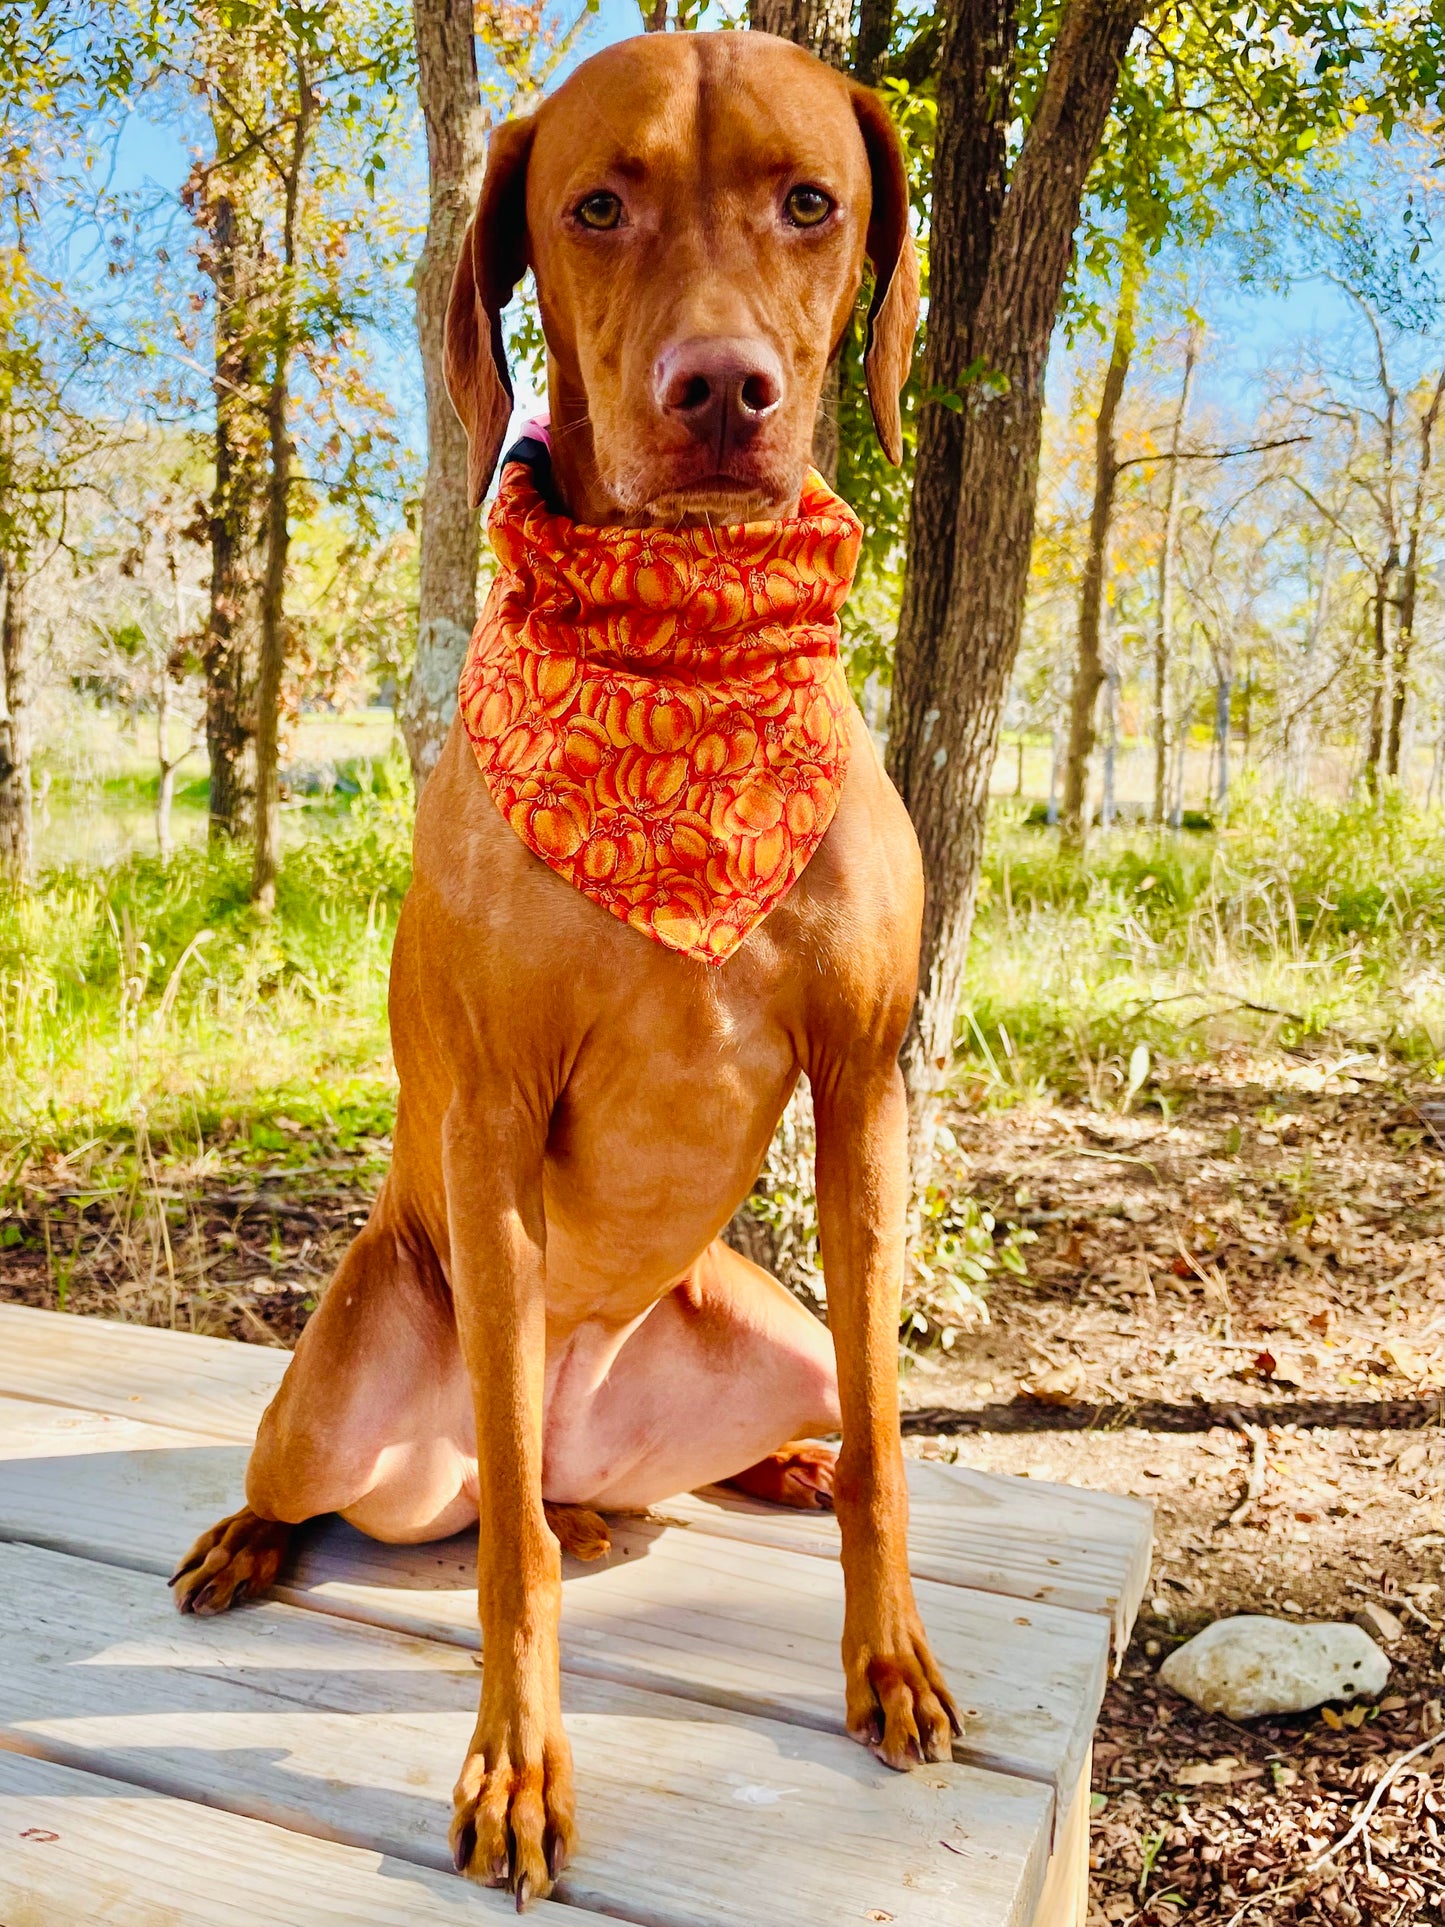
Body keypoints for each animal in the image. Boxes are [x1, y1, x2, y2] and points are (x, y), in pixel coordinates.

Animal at [172, 30, 963, 1911]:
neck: (684, 667)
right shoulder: (491, 1107)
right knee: (441, 1498)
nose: (724, 388)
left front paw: (885, 1654)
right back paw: (265, 1532)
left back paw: (746, 1473)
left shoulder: (863, 1091)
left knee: (730, 1444)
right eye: (595, 207)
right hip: (342, 1399)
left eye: (809, 200)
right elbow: (509, 1562)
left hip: (778, 1329)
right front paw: (518, 1762)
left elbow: (895, 1448)